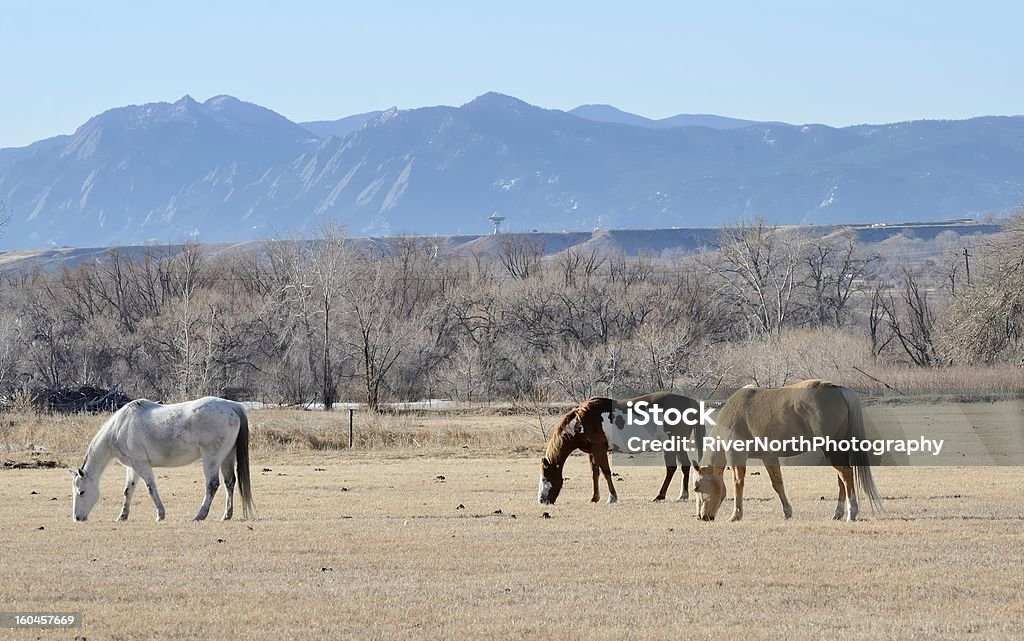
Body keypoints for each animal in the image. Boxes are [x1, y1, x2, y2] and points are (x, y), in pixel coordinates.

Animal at [70, 395, 253, 524]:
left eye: (81, 492)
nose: (77, 518)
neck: (120, 427)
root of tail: (232, 405)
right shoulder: (133, 466)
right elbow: (128, 490)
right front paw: (122, 516)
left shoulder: (141, 464)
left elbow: (151, 488)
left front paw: (160, 515)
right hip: (227, 457)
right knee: (230, 482)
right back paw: (226, 515)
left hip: (212, 459)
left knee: (212, 485)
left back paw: (200, 515)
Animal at [540, 389, 708, 503]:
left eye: (544, 477)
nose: (542, 500)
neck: (582, 421)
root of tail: (689, 401)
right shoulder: (592, 452)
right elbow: (595, 473)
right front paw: (594, 498)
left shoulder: (600, 449)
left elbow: (606, 472)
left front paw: (612, 497)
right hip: (677, 444)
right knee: (684, 466)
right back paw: (681, 495)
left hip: (672, 443)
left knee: (672, 468)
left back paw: (661, 496)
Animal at [692, 378, 884, 520]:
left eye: (697, 487)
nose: (702, 517)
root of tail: (837, 389)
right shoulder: (768, 457)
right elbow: (778, 483)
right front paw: (787, 512)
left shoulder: (736, 455)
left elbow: (738, 483)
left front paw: (736, 515)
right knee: (842, 477)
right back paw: (838, 513)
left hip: (831, 448)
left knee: (846, 474)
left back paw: (851, 513)